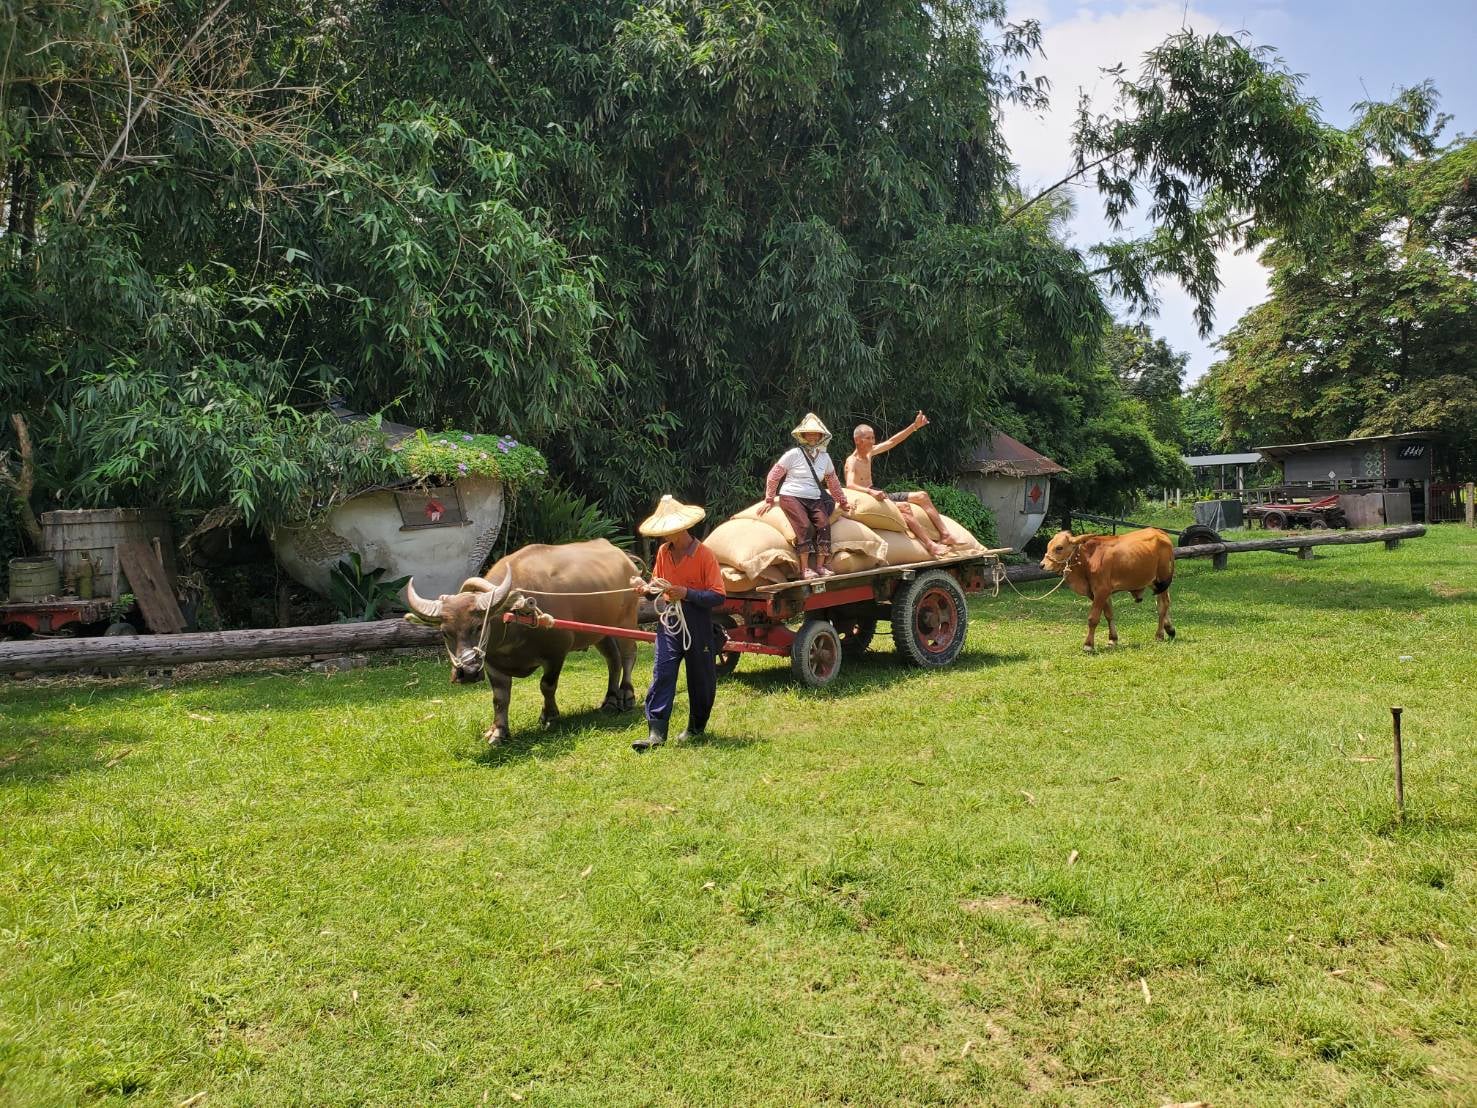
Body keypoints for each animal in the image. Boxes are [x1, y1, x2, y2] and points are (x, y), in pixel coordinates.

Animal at [404, 540, 641, 747]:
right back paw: (610, 699)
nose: (468, 672)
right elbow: (499, 698)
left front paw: (549, 715)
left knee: (628, 655)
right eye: (444, 633)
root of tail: (626, 560)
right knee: (613, 660)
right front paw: (498, 731)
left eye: (479, 626)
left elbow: (547, 685)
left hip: (626, 622)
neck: (514, 619)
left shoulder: (556, 653)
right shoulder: (492, 663)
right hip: (601, 632)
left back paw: (627, 695)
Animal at [1039, 528, 1175, 650]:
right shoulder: (1098, 593)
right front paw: (1113, 639)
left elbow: (1093, 618)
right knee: (1162, 602)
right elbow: (1109, 615)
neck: (1088, 560)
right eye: (1048, 546)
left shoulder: (1101, 591)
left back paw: (1159, 635)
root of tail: (1160, 532)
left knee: (1163, 605)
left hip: (1162, 577)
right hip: (1154, 581)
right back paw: (1170, 629)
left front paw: (1088, 645)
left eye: (1059, 547)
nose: (1042, 565)